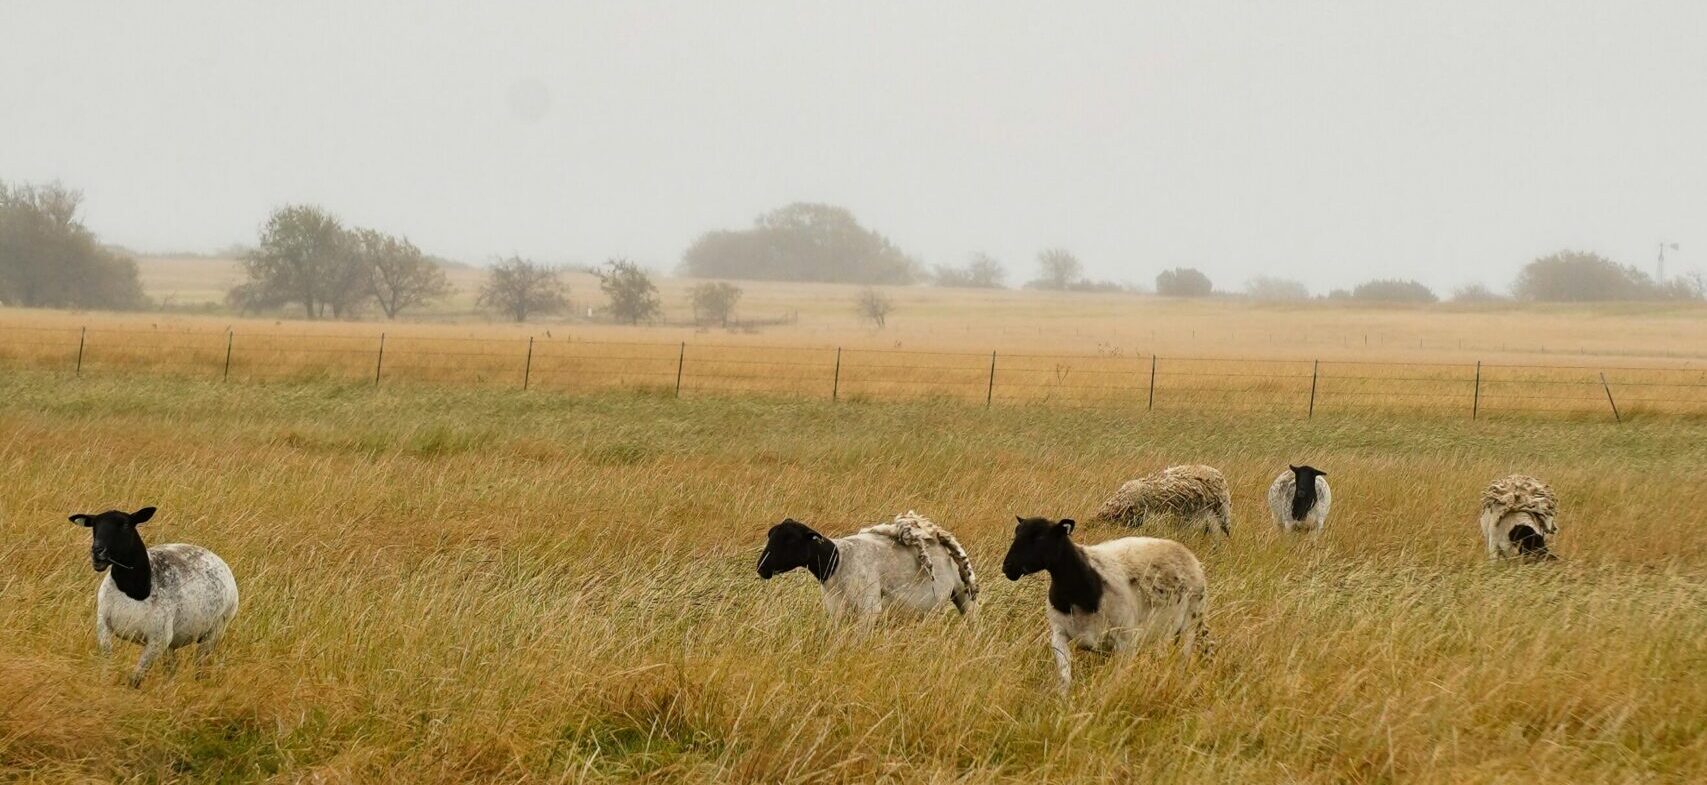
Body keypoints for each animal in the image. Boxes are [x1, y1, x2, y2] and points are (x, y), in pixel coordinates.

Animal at [69, 506, 239, 687]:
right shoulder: (103, 625)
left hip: (214, 632)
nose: (97, 551)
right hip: (173, 644)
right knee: (172, 668)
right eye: (94, 526)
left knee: (200, 666)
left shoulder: (158, 641)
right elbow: (106, 663)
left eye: (125, 526)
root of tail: (218, 560)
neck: (135, 590)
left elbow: (134, 679)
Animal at [756, 510, 978, 619]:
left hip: (963, 597)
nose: (761, 568)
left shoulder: (869, 608)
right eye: (770, 535)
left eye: (790, 540)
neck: (837, 561)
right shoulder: (836, 608)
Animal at [1002, 516, 1210, 691]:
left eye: (1040, 537)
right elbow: (1065, 677)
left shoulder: (1126, 643)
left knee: (1182, 659)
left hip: (1188, 626)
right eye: (1017, 533)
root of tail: (1190, 556)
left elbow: (1118, 679)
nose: (1007, 567)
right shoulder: (1059, 634)